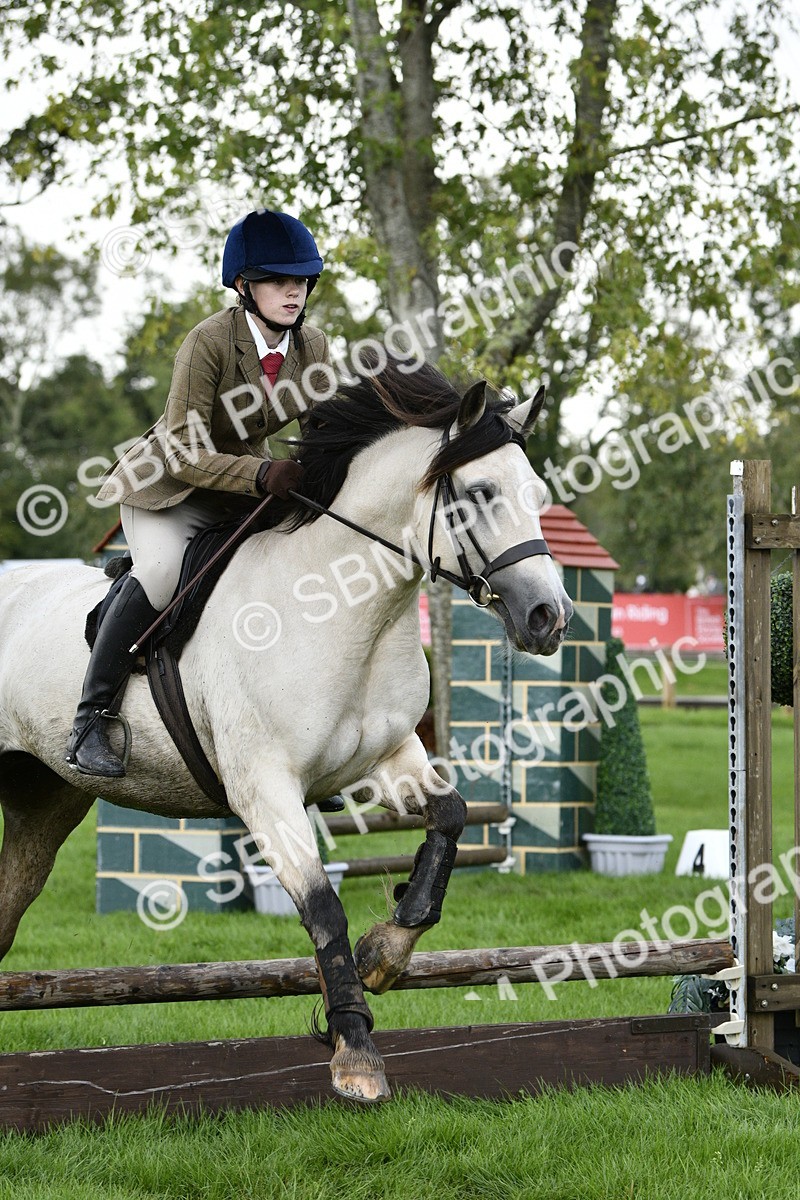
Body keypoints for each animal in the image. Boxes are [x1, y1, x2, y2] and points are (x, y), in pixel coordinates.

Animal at [0, 357, 573, 1103]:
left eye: (537, 493)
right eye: (479, 493)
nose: (549, 617)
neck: (343, 607)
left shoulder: (389, 755)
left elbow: (449, 817)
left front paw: (385, 954)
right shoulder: (265, 791)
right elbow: (323, 907)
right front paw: (355, 1052)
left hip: (44, 799)